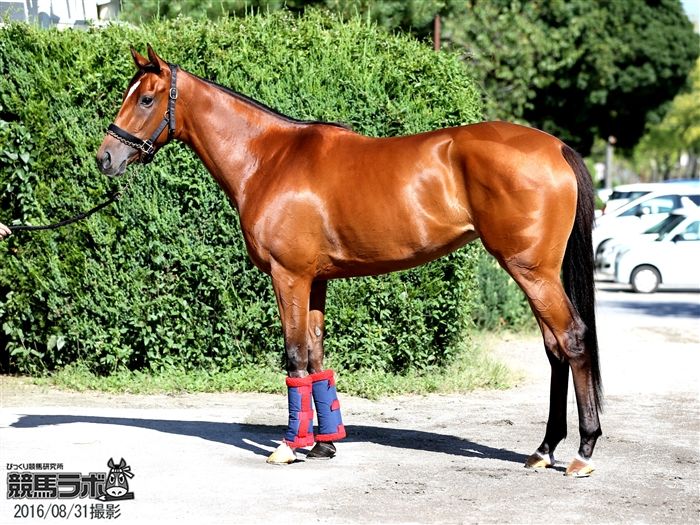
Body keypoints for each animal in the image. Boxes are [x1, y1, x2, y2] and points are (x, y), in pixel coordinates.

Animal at [97, 46, 602, 476]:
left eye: (145, 98)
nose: (105, 157)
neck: (268, 159)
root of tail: (555, 147)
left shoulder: (289, 277)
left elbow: (294, 355)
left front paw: (289, 446)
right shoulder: (316, 280)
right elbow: (316, 356)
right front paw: (324, 444)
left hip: (531, 271)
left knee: (572, 339)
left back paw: (582, 451)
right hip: (535, 273)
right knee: (554, 348)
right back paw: (544, 450)